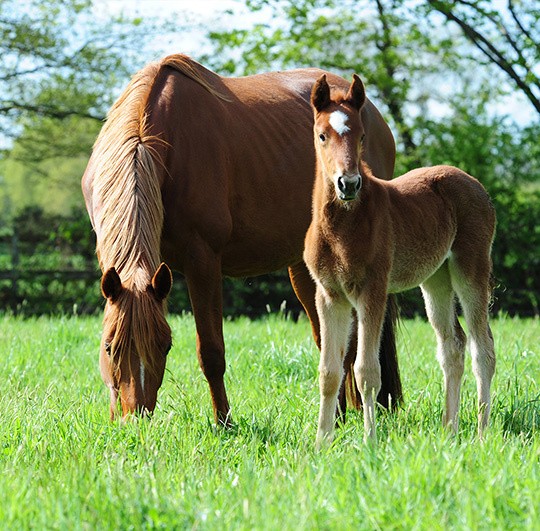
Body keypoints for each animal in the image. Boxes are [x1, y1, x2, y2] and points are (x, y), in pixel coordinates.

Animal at [81, 55, 400, 424]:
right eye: (108, 346)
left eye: (165, 345)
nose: (135, 419)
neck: (158, 140)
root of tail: (374, 115)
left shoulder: (202, 261)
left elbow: (211, 352)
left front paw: (224, 422)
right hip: (306, 269)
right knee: (331, 341)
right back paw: (338, 416)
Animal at [306, 74, 496, 448]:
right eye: (322, 135)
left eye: (362, 136)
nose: (348, 184)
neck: (343, 227)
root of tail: (476, 185)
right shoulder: (329, 295)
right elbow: (329, 371)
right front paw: (321, 444)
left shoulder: (372, 292)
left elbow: (366, 371)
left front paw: (369, 442)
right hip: (436, 279)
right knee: (453, 345)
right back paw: (449, 431)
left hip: (471, 269)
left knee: (483, 347)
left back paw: (482, 434)